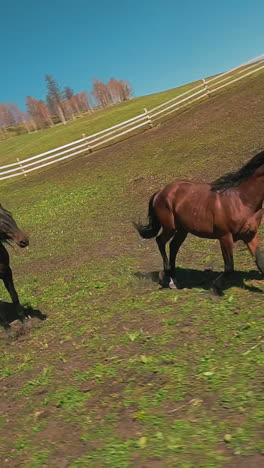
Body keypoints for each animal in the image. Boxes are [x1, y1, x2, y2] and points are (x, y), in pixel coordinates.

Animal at [133, 149, 264, 288]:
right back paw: (166, 275)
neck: (241, 199)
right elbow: (229, 267)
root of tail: (160, 192)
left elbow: (260, 263)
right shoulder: (225, 236)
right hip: (170, 227)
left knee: (173, 246)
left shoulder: (249, 235)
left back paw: (173, 280)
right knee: (160, 241)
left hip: (182, 230)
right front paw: (215, 286)